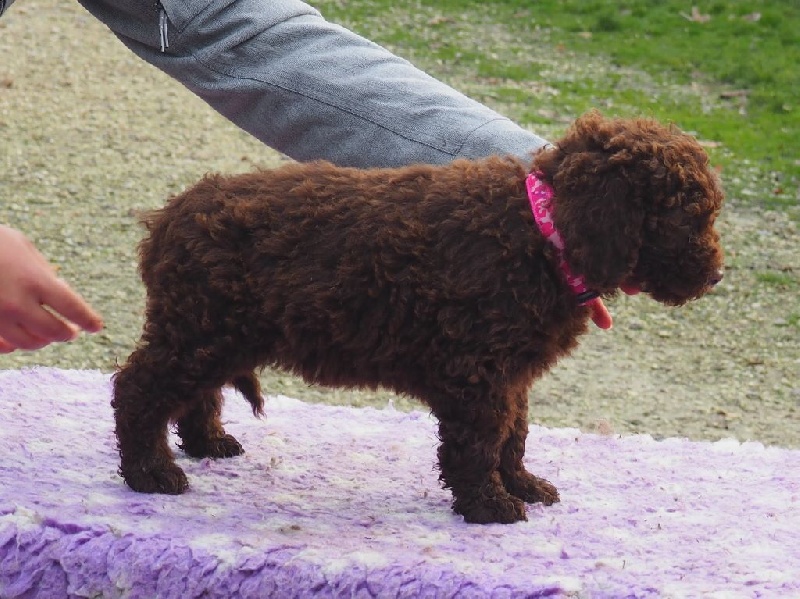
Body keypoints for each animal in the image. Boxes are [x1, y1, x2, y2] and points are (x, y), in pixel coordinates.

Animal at [112, 111, 724, 524]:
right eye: (688, 216)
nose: (718, 276)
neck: (539, 233)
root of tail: (170, 215)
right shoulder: (476, 373)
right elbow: (479, 442)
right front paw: (490, 505)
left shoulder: (510, 377)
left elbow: (514, 435)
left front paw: (522, 484)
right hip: (200, 332)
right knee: (138, 389)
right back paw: (152, 472)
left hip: (216, 334)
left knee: (193, 393)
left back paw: (207, 442)